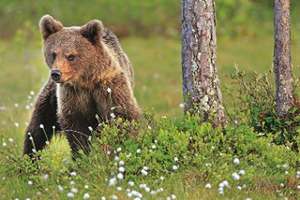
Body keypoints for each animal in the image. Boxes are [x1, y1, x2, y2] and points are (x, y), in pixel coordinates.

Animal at [23, 14, 141, 159]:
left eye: (71, 56)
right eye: (54, 54)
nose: (56, 73)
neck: (85, 81)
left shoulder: (109, 88)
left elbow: (124, 115)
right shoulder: (72, 95)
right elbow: (75, 127)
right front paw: (83, 155)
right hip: (50, 97)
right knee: (38, 127)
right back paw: (30, 156)